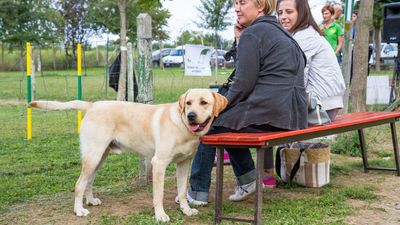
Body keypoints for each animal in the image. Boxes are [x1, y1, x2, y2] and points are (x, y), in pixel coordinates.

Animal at [28, 88, 228, 221]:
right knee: (79, 184)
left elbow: (181, 190)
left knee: (88, 181)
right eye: (188, 103)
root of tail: (92, 105)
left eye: (204, 102)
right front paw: (160, 215)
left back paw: (90, 200)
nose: (191, 115)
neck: (182, 125)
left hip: (100, 157)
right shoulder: (159, 163)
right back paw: (79, 210)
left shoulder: (184, 164)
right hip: (93, 156)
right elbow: (159, 195)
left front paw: (186, 210)